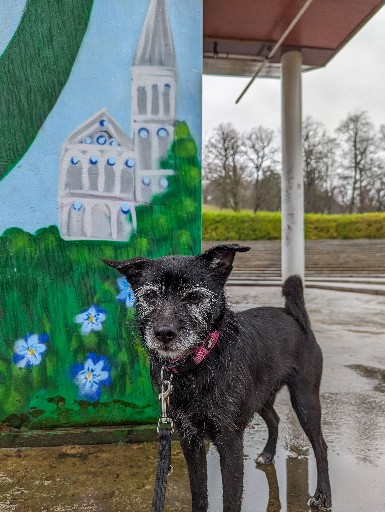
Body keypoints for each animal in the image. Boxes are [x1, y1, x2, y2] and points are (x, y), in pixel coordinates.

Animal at [104, 245, 330, 512]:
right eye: (150, 295)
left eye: (194, 297)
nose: (163, 333)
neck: (197, 366)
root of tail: (292, 315)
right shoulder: (190, 439)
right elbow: (199, 493)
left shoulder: (229, 441)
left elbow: (231, 500)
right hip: (260, 396)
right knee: (274, 419)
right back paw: (268, 454)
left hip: (305, 399)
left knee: (320, 445)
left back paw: (323, 495)